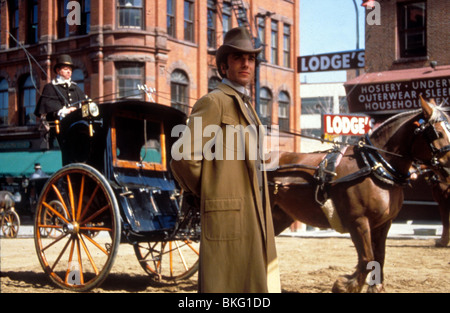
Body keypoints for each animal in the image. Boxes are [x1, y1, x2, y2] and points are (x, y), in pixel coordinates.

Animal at [268, 96, 450, 292]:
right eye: (438, 133)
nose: (449, 167)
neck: (374, 167)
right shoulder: (358, 221)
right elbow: (367, 258)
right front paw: (346, 285)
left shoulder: (383, 223)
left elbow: (379, 255)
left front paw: (376, 287)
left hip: (280, 216)